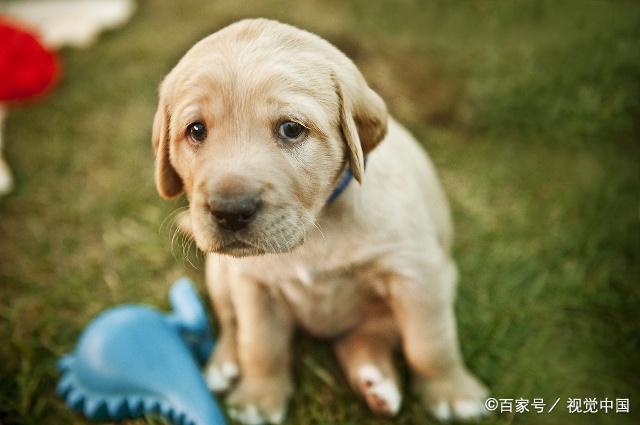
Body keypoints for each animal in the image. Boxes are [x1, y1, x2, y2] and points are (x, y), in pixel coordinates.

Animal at [152, 18, 488, 422]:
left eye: (291, 129)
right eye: (196, 130)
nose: (230, 211)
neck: (316, 226)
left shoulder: (417, 274)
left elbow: (430, 344)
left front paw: (452, 393)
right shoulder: (253, 287)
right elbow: (259, 345)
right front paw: (258, 399)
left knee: (368, 337)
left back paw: (375, 381)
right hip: (221, 271)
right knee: (232, 323)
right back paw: (224, 363)